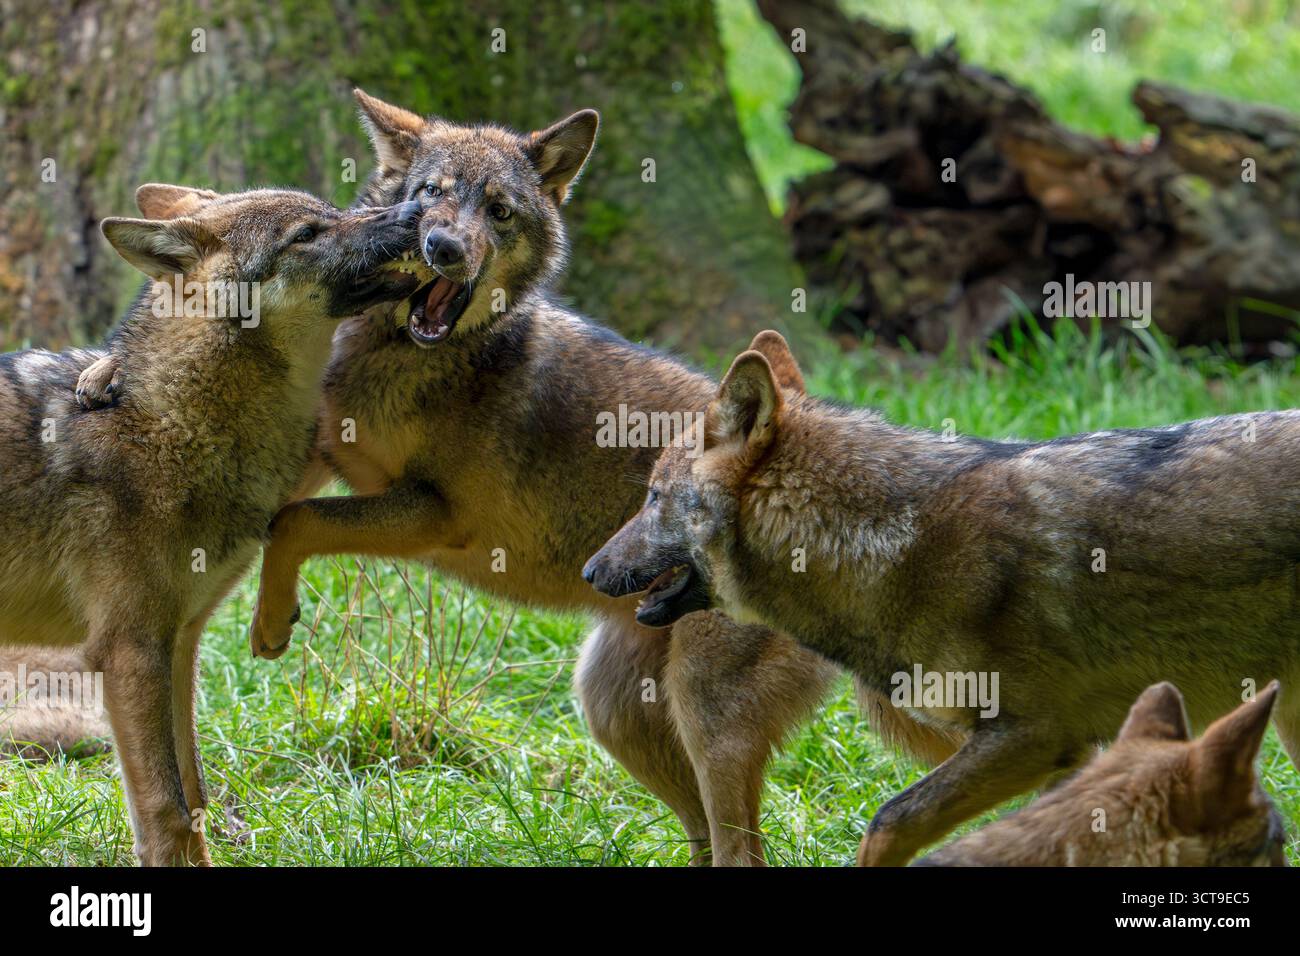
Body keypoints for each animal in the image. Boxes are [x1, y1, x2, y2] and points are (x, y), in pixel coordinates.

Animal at [3, 185, 419, 864]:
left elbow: (194, 797)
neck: (168, 418)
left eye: (331, 209)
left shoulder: (179, 645)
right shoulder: (130, 652)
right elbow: (167, 811)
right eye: (306, 234)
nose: (413, 211)